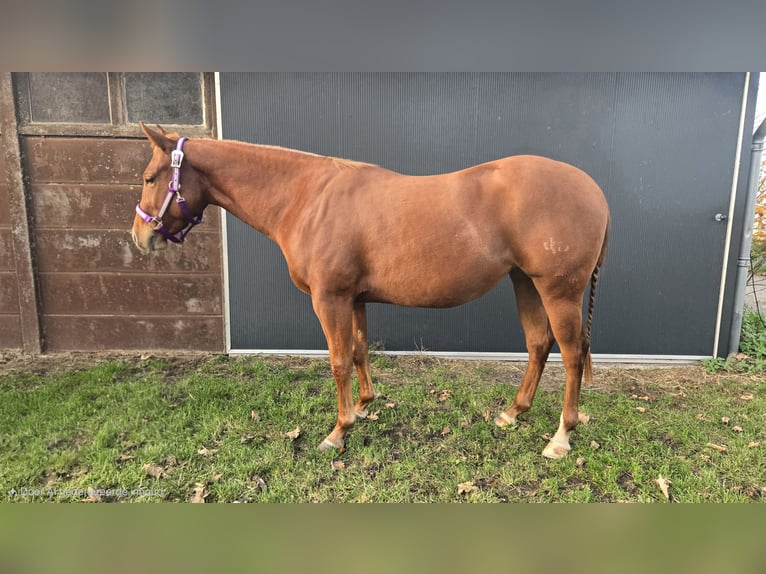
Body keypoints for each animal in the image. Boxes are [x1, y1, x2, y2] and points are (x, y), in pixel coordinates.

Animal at [132, 123, 609, 459]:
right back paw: (512, 413)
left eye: (151, 177)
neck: (307, 198)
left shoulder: (329, 298)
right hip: (524, 281)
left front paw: (337, 432)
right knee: (538, 344)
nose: (139, 237)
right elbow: (360, 350)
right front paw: (363, 407)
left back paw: (561, 437)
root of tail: (596, 192)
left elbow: (339, 361)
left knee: (571, 354)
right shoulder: (354, 299)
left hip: (558, 291)